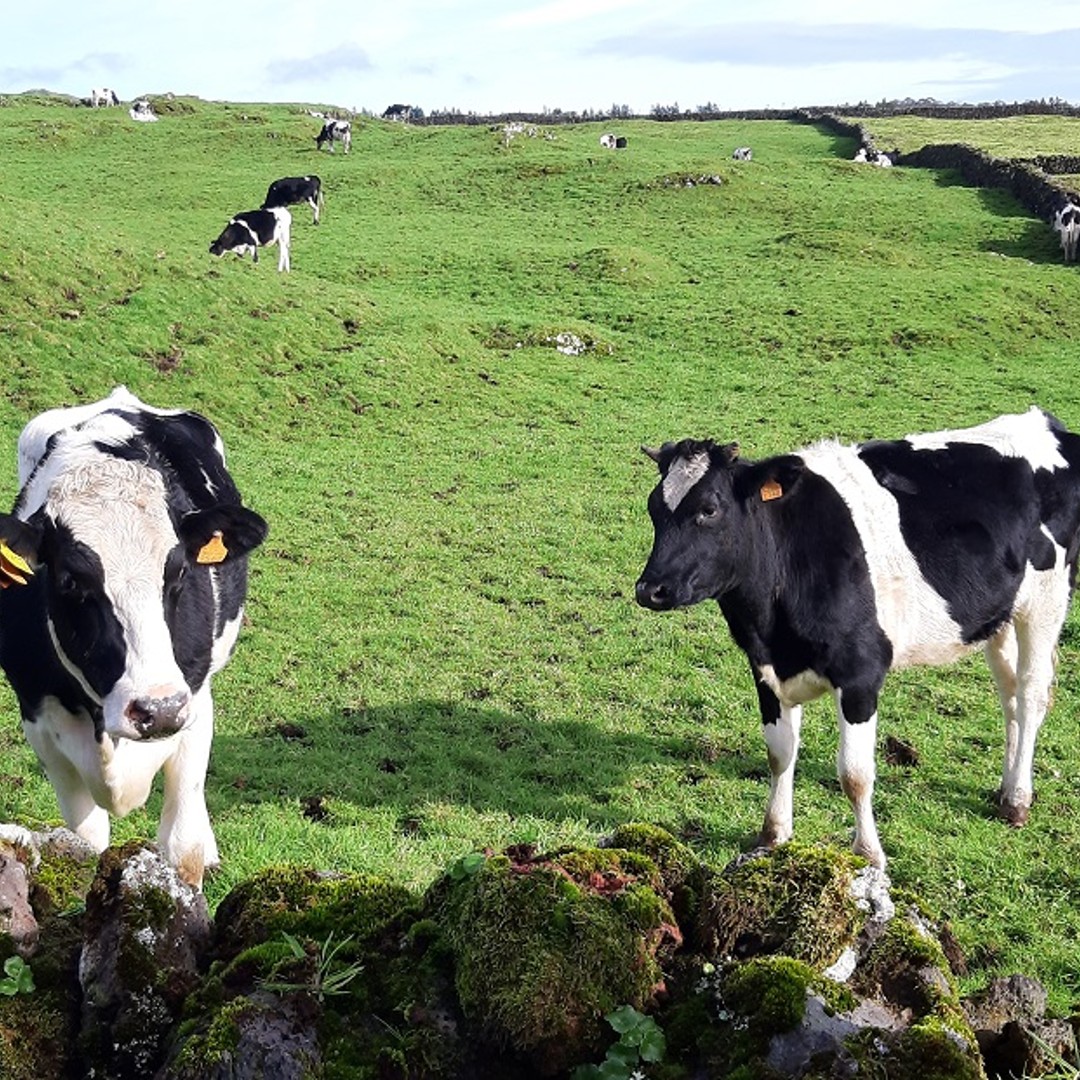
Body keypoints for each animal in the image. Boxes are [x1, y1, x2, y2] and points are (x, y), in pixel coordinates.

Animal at [0, 387, 268, 889]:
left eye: (178, 571)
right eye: (70, 580)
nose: (156, 710)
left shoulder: (193, 702)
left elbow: (183, 846)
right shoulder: (39, 721)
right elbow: (85, 845)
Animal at [635, 408, 1080, 871]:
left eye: (709, 509)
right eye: (653, 508)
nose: (650, 589)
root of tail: (1041, 421)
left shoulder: (860, 673)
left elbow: (854, 773)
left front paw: (868, 854)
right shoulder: (765, 669)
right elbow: (780, 753)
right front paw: (772, 836)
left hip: (1045, 603)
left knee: (1030, 695)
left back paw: (1019, 798)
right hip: (1001, 615)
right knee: (1008, 694)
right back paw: (1006, 788)